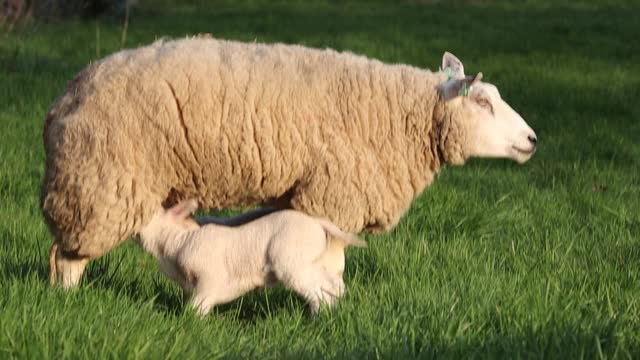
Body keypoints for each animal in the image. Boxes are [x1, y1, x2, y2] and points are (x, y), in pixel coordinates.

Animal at [42, 37, 536, 290]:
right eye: (484, 103)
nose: (532, 139)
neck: (398, 116)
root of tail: (69, 91)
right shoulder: (333, 198)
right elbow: (332, 266)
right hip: (100, 184)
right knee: (68, 258)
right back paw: (68, 302)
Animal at [138, 198, 368, 314]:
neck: (178, 239)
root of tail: (318, 223)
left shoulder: (210, 278)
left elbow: (196, 307)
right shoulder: (189, 285)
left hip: (291, 261)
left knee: (319, 293)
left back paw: (318, 317)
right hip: (319, 261)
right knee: (334, 287)